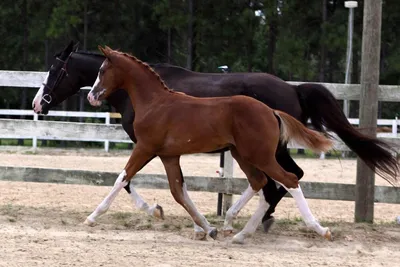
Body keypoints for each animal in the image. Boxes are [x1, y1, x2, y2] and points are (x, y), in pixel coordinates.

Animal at [86, 46, 334, 245]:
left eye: (102, 71)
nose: (91, 96)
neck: (155, 103)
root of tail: (271, 112)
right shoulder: (169, 156)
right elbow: (178, 192)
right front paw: (208, 229)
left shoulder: (145, 148)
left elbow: (122, 178)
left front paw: (92, 217)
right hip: (243, 154)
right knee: (262, 183)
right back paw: (241, 234)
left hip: (260, 156)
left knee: (288, 180)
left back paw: (321, 230)